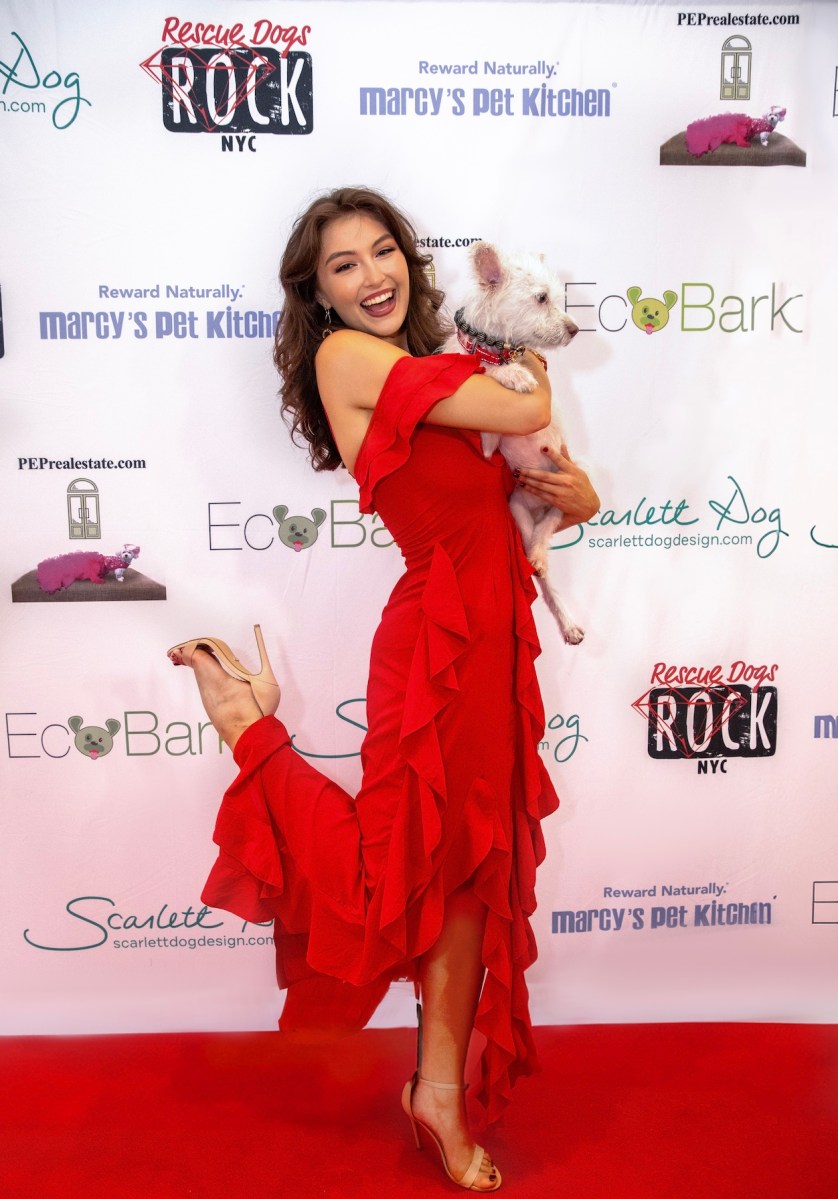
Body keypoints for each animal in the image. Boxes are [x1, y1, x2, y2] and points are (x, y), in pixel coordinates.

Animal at [448, 237, 587, 642]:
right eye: (541, 298)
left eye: (559, 297)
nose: (574, 329)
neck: (495, 346)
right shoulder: (487, 434)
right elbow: (482, 371)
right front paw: (511, 375)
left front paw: (515, 372)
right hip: (518, 509)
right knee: (536, 547)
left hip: (565, 487)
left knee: (546, 535)